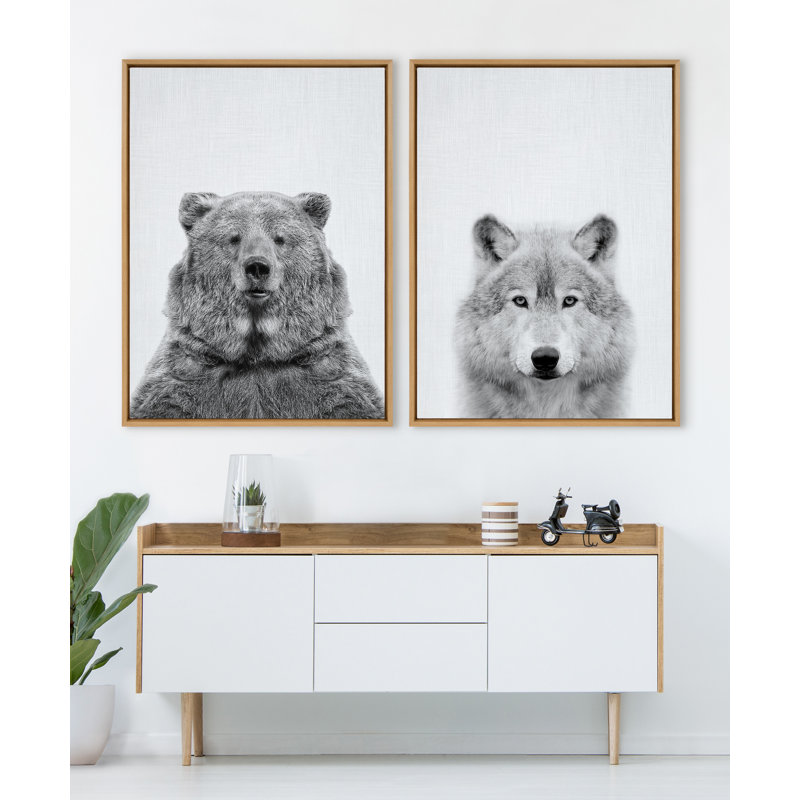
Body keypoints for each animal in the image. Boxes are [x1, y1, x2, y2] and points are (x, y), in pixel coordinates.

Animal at [130, 191, 384, 420]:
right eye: (234, 238)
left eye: (279, 238)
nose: (257, 267)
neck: (258, 355)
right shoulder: (185, 373)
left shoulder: (328, 372)